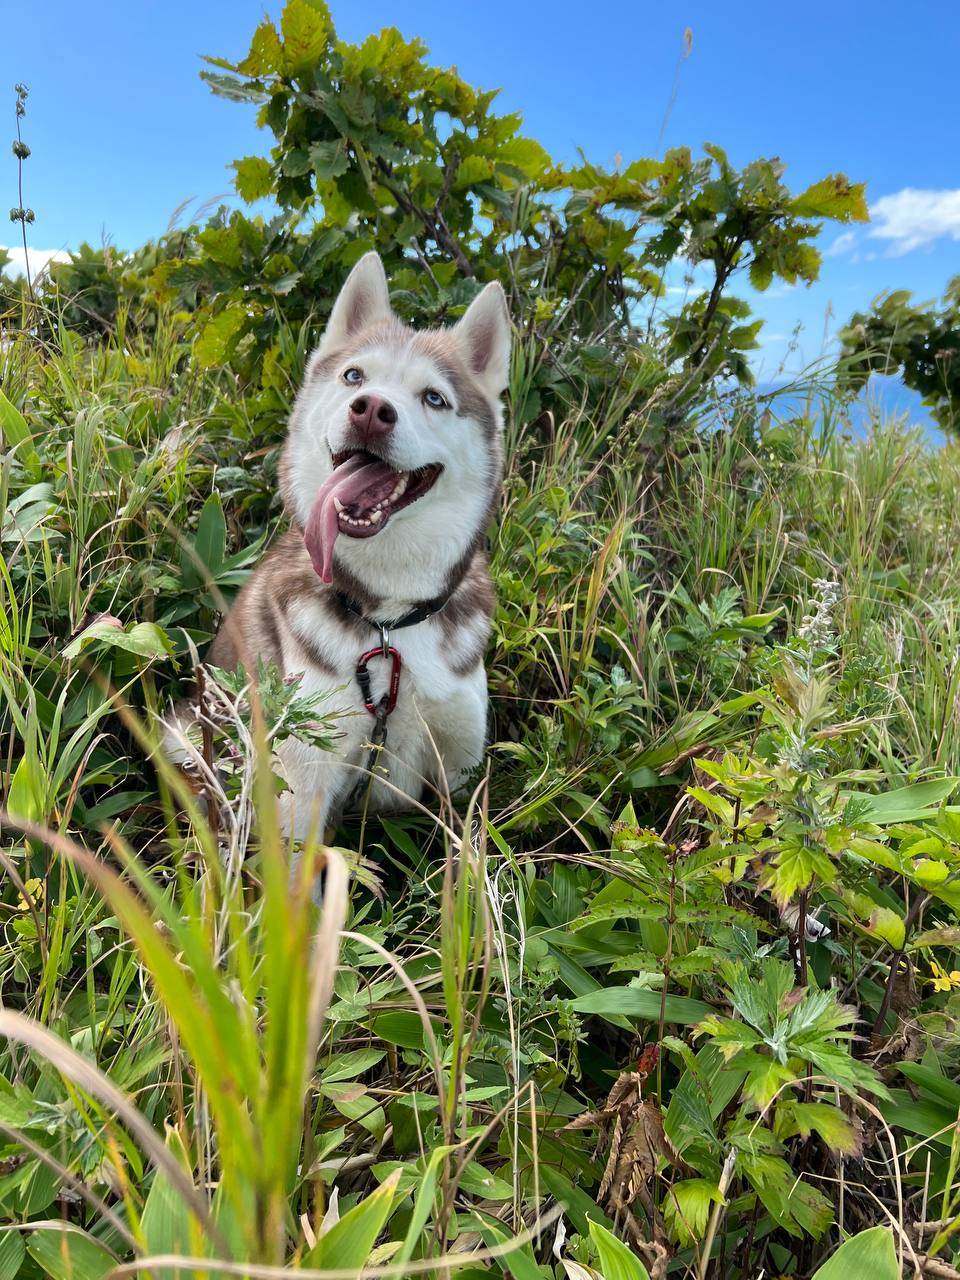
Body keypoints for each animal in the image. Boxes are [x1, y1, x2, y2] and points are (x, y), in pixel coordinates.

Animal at [176, 253, 514, 834]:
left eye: (434, 398)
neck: (388, 619)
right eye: (354, 375)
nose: (372, 408)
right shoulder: (301, 780)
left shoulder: (461, 770)